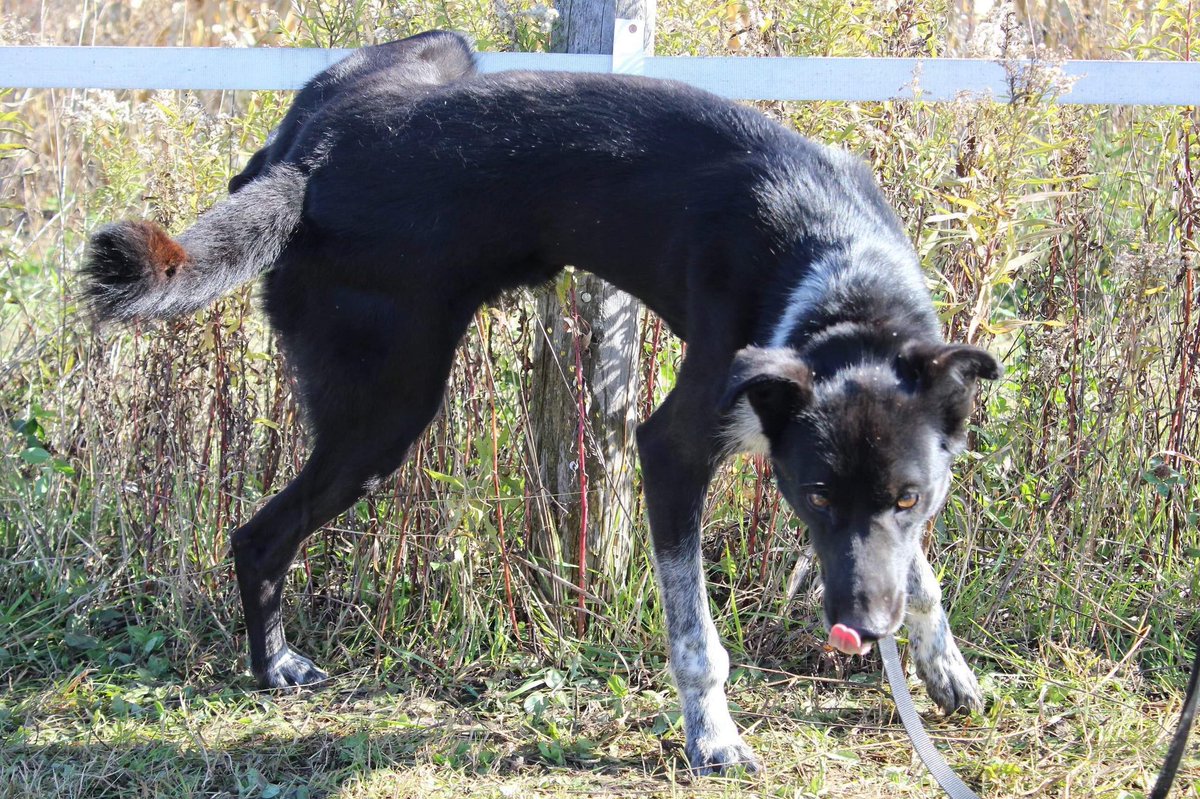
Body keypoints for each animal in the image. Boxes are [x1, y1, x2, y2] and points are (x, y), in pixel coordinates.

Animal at [84, 29, 998, 772]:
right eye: (813, 495)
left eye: (910, 498)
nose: (863, 631)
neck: (842, 288)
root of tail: (308, 164)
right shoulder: (672, 447)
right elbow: (697, 636)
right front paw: (712, 737)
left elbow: (917, 574)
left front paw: (946, 668)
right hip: (384, 418)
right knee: (259, 536)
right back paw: (273, 665)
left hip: (436, 55)